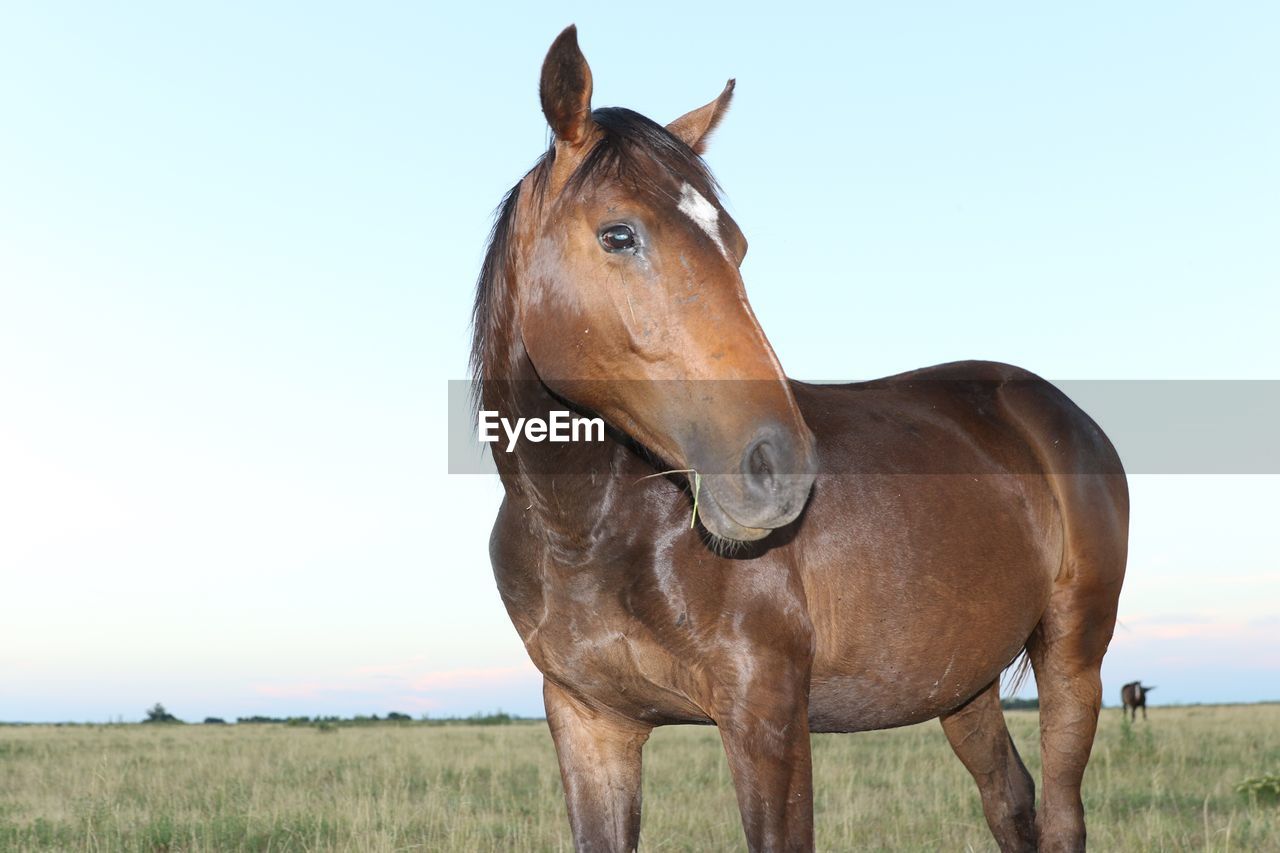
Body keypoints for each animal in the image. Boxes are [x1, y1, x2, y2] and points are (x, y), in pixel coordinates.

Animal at [478, 23, 1131, 845]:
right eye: (618, 234)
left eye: (736, 245)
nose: (778, 467)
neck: (587, 528)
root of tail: (1060, 413)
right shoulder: (590, 724)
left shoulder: (768, 717)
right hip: (965, 684)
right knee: (1011, 802)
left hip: (1074, 656)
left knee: (1062, 815)